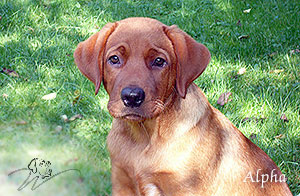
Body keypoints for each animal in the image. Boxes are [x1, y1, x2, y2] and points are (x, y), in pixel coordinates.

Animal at [74, 17, 292, 196]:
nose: (132, 97)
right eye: (114, 59)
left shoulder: (184, 188)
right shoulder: (122, 182)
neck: (144, 137)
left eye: (159, 61)